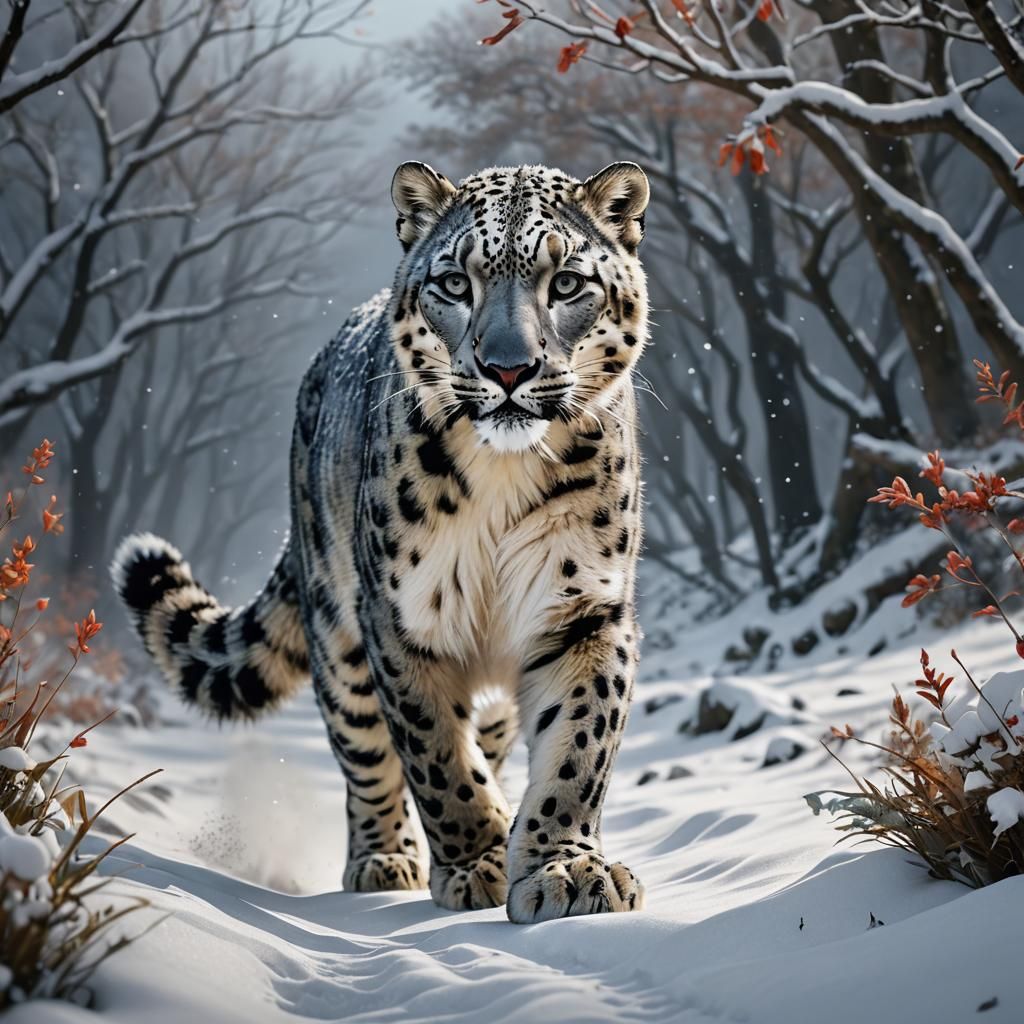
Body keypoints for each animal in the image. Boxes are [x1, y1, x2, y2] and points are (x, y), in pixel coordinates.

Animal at [112, 160, 651, 924]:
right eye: (455, 282)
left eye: (568, 283)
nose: (507, 369)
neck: (505, 475)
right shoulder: (404, 619)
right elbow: (437, 757)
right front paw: (480, 862)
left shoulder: (584, 610)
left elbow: (578, 746)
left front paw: (564, 869)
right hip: (340, 636)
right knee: (365, 752)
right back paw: (384, 858)